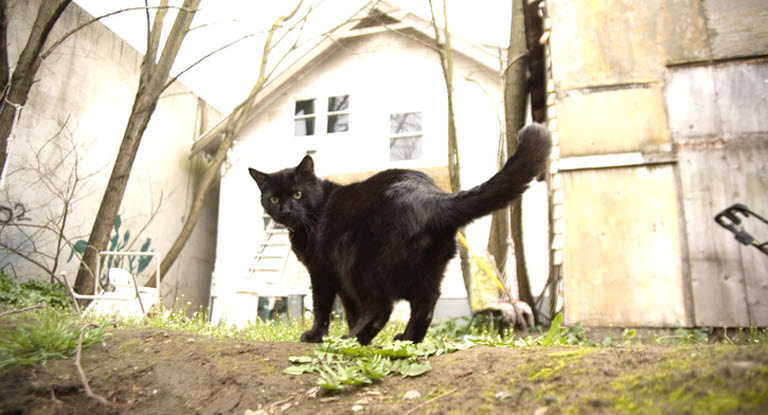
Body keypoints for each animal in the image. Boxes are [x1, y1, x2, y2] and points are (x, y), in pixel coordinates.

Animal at [249, 122, 548, 344]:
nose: (285, 211)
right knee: (425, 304)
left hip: (360, 266)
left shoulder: (322, 272)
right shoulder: (340, 283)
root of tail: (433, 199)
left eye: (297, 194)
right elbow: (349, 309)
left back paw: (352, 339)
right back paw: (406, 339)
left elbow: (323, 307)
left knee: (381, 307)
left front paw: (314, 336)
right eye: (273, 199)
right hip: (427, 270)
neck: (314, 212)